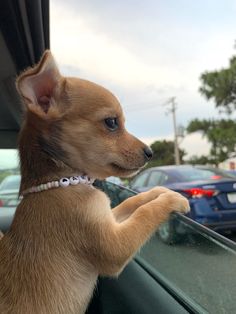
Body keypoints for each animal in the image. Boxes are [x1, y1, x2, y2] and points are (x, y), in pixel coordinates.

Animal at [0, 51, 190, 314]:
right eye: (111, 122)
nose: (150, 152)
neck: (62, 181)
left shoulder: (107, 216)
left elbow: (133, 203)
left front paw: (159, 191)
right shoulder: (114, 246)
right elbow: (146, 213)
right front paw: (172, 198)